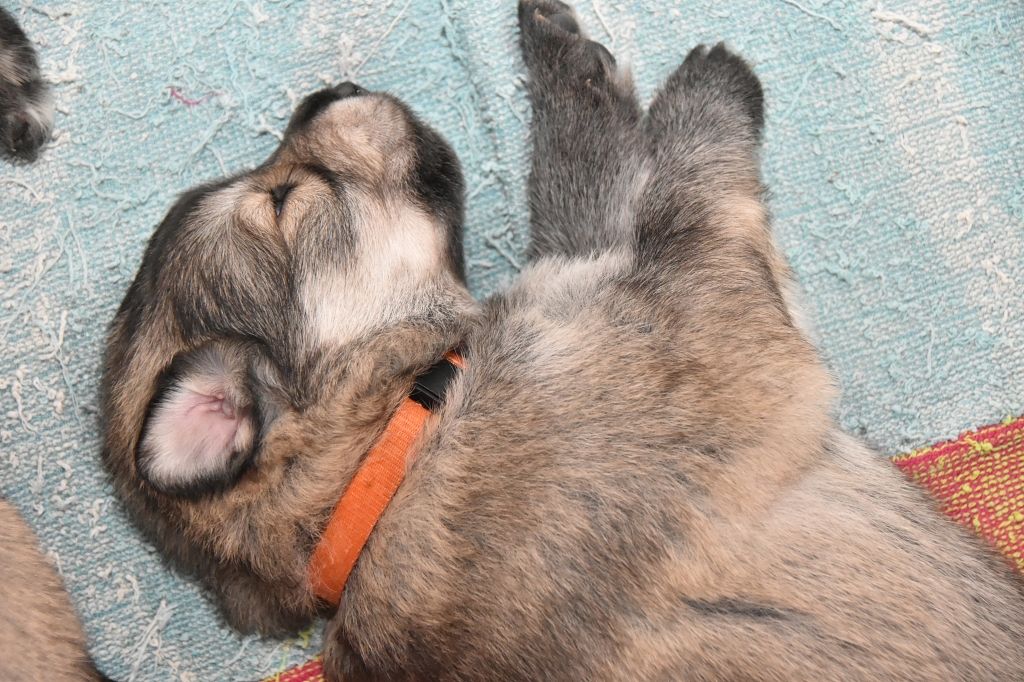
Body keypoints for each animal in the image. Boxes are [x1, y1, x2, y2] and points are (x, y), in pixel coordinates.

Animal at [100, 2, 1024, 679]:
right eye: (288, 200)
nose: (328, 92)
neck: (383, 460)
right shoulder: (700, 303)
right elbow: (681, 192)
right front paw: (707, 78)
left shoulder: (585, 273)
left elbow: (587, 184)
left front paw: (564, 51)